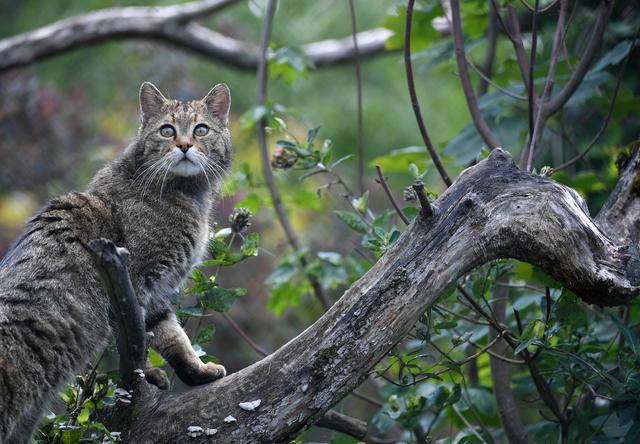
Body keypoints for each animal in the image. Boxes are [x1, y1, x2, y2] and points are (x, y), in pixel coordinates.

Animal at [0, 81, 234, 442]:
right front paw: (149, 374)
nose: (183, 145)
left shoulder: (156, 293)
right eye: (167, 131)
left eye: (201, 129)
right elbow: (137, 341)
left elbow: (171, 335)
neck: (184, 193)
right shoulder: (136, 280)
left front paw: (196, 371)